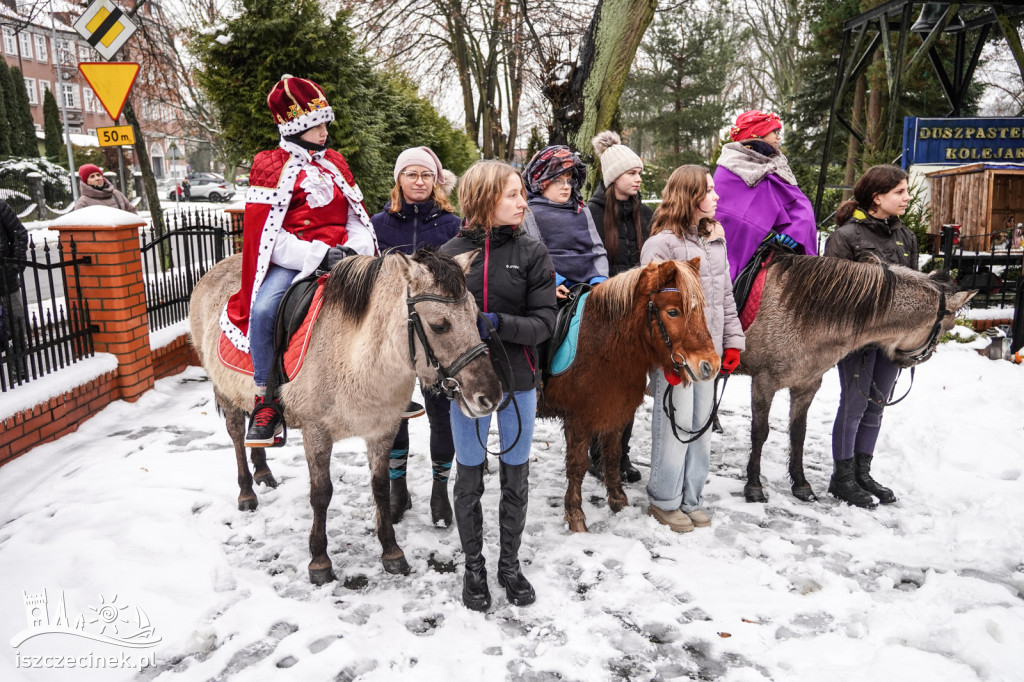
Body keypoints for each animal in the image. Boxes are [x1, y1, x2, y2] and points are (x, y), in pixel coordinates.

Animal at [190, 246, 501, 581]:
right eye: (440, 325)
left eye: (475, 316)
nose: (491, 397)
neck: (354, 357)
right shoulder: (316, 432)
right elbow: (321, 493)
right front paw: (319, 560)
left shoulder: (383, 429)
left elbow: (380, 487)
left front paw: (391, 551)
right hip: (224, 391)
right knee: (236, 435)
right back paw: (247, 491)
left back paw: (262, 470)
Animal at [544, 260, 720, 532]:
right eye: (672, 312)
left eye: (700, 309)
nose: (711, 365)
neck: (601, 343)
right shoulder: (578, 419)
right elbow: (577, 466)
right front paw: (575, 515)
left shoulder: (616, 413)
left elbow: (613, 457)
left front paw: (618, 501)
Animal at [741, 251, 970, 501]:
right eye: (947, 328)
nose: (917, 360)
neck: (798, 312)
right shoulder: (763, 382)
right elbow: (759, 433)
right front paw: (754, 486)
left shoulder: (806, 386)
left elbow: (798, 433)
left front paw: (801, 484)